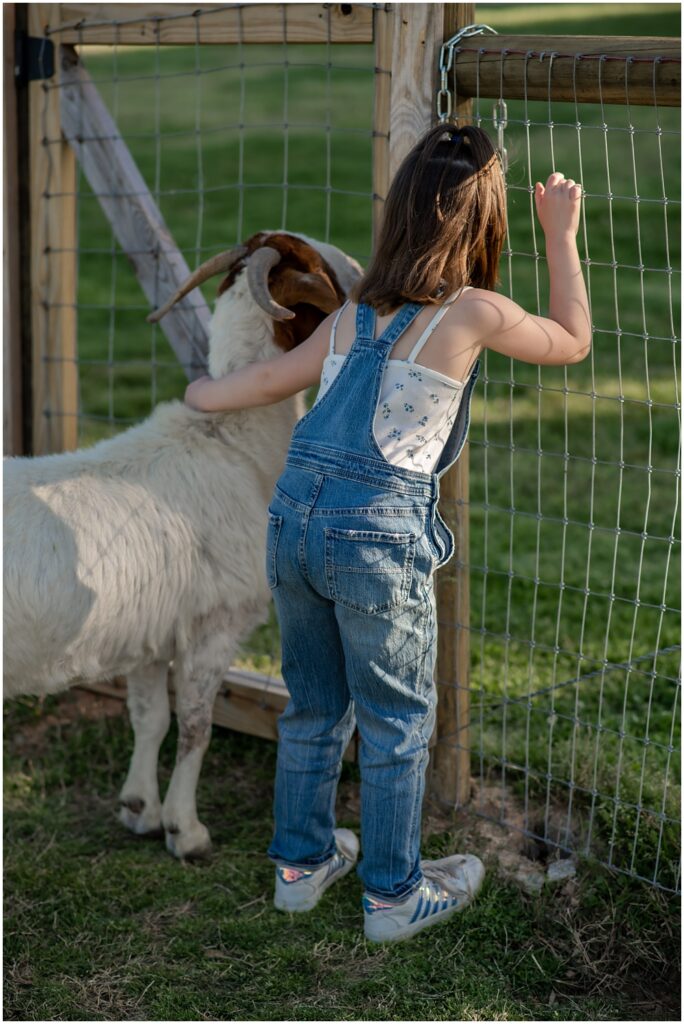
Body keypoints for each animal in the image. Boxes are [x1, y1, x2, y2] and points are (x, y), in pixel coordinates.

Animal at [3, 230, 362, 856]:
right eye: (322, 268)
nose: (363, 270)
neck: (233, 443)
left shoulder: (148, 635)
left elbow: (151, 717)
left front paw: (140, 809)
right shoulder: (214, 625)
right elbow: (197, 726)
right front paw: (185, 831)